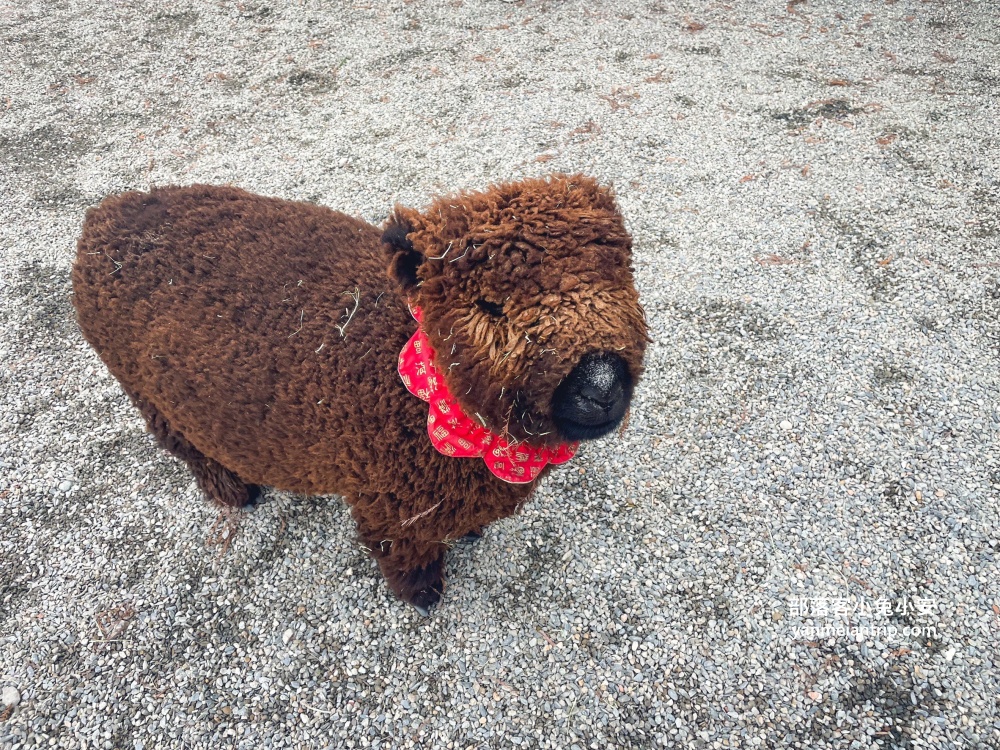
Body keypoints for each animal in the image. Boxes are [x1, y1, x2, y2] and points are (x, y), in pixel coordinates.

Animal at [72, 176, 648, 616]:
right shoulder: (387, 506)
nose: (600, 386)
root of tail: (103, 215)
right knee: (186, 448)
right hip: (145, 393)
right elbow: (405, 557)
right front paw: (423, 596)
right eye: (489, 306)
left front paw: (469, 536)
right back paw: (233, 490)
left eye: (623, 271)